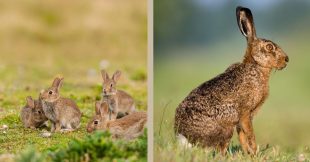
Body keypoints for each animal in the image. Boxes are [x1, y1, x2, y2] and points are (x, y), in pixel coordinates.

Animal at [174, 6, 288, 155]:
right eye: (269, 47)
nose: (286, 59)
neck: (256, 66)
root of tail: (185, 138)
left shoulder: (245, 118)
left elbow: (242, 135)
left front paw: (249, 153)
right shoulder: (245, 112)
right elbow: (249, 133)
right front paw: (254, 151)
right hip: (226, 125)